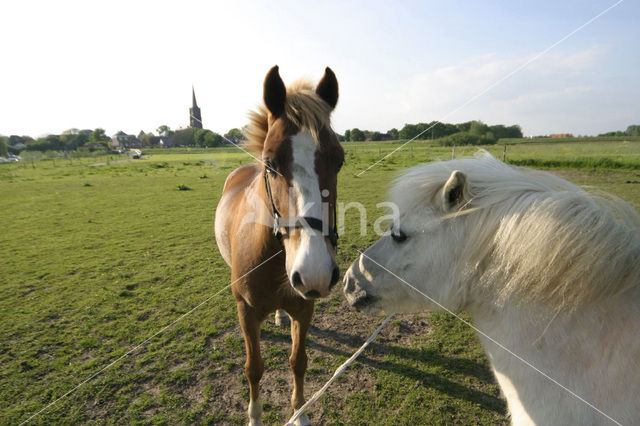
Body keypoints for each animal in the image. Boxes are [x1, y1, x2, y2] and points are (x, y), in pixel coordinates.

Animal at [215, 66, 344, 426]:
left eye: (339, 161)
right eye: (271, 163)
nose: (315, 273)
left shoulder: (304, 308)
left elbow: (298, 361)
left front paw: (299, 413)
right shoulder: (246, 312)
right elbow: (254, 369)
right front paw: (254, 416)